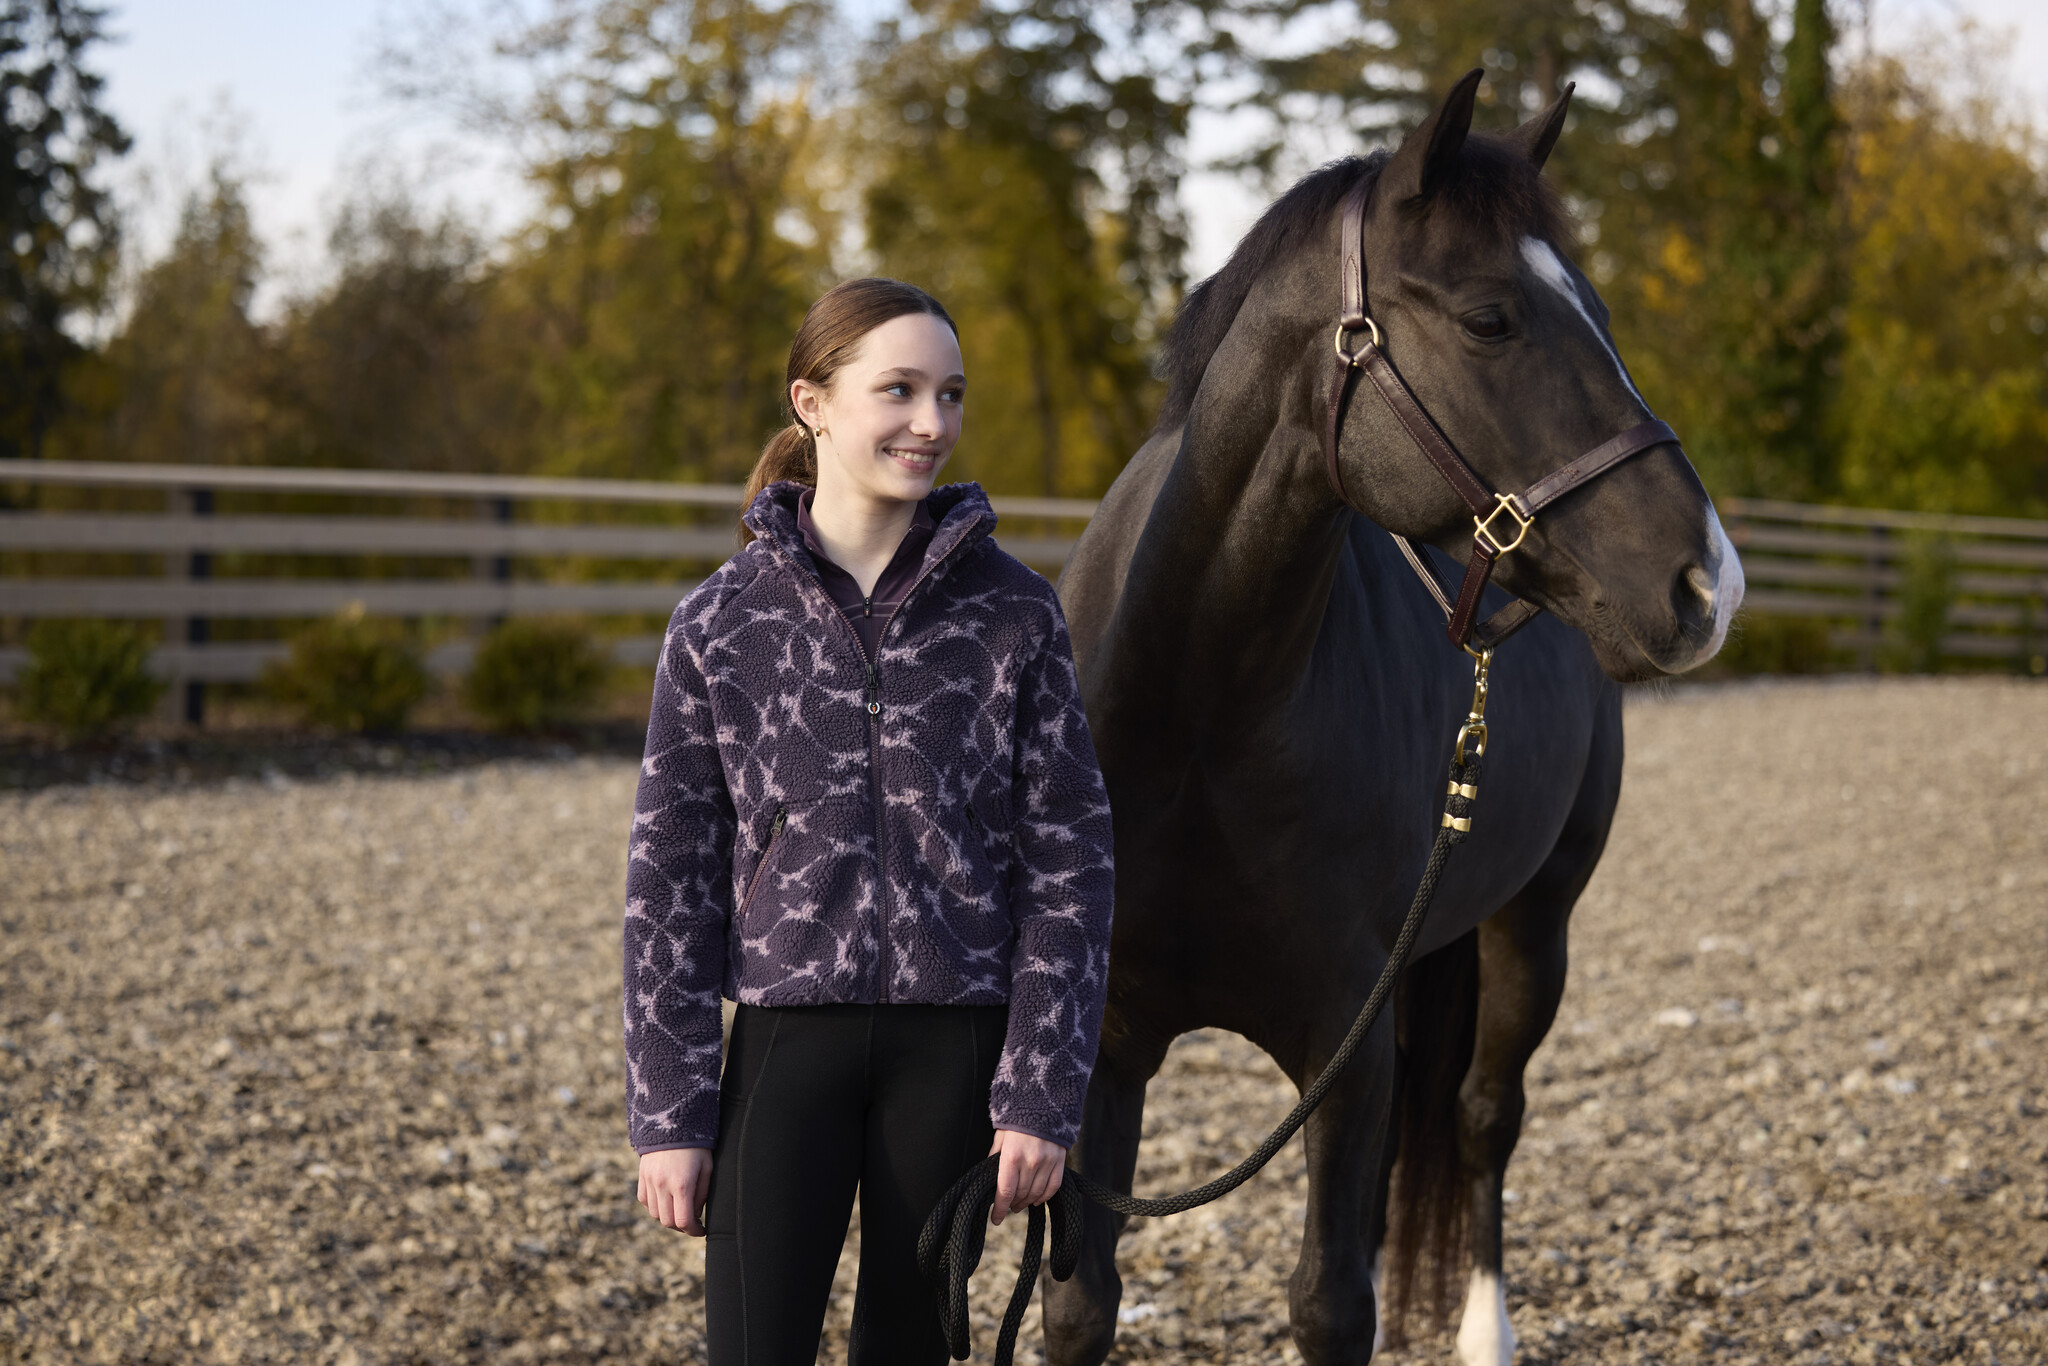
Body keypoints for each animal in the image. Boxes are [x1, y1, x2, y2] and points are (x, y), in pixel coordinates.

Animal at [1040, 69, 1743, 1365]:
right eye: (1487, 320)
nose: (1706, 584)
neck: (1193, 726)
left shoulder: (1344, 1047)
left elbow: (1330, 1302)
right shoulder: (1106, 1043)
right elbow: (1079, 1304)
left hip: (1533, 925)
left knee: (1479, 1117)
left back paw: (1483, 1330)